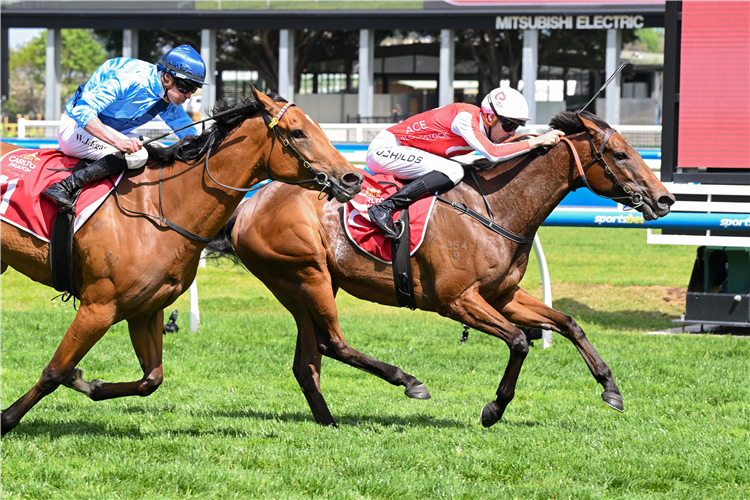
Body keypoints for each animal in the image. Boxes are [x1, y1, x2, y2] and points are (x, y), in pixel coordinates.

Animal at [0, 89, 364, 434]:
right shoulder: (98, 307)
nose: (353, 178)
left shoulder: (145, 309)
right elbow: (54, 371)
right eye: (298, 132)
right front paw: (7, 418)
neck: (160, 210)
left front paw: (90, 383)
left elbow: (151, 379)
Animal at [209, 111, 680, 428]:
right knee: (332, 344)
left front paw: (610, 389)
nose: (665, 199)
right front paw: (493, 409)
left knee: (308, 361)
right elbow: (518, 342)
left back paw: (329, 421)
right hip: (306, 277)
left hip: (307, 287)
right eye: (619, 154)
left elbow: (568, 322)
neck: (496, 209)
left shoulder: (502, 295)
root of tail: (247, 204)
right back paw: (408, 381)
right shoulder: (457, 300)